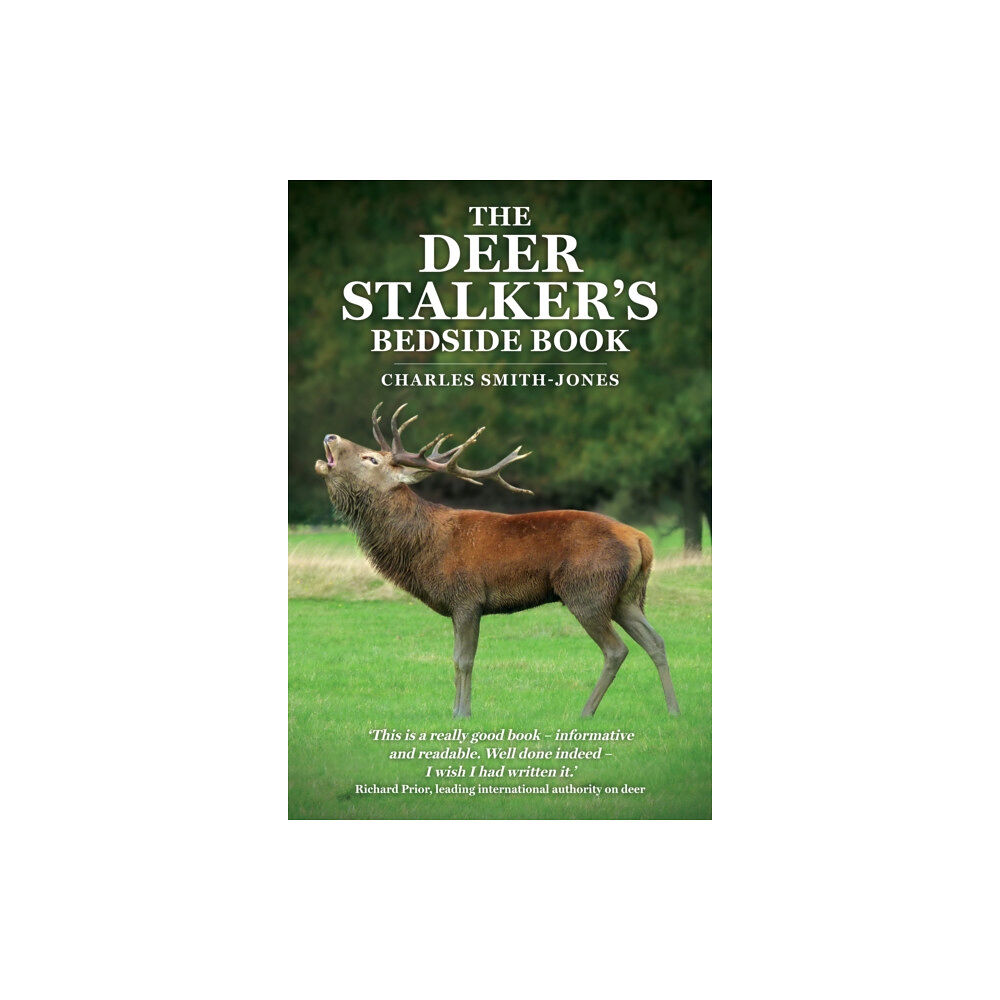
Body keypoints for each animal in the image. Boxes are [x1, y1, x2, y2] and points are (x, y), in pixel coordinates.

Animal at [314, 403, 680, 719]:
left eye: (371, 459)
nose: (330, 436)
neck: (423, 549)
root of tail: (642, 540)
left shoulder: (467, 597)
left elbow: (464, 659)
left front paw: (462, 714)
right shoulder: (459, 604)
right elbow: (455, 658)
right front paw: (455, 711)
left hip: (587, 591)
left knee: (616, 650)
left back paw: (586, 712)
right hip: (626, 597)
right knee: (656, 641)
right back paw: (673, 710)